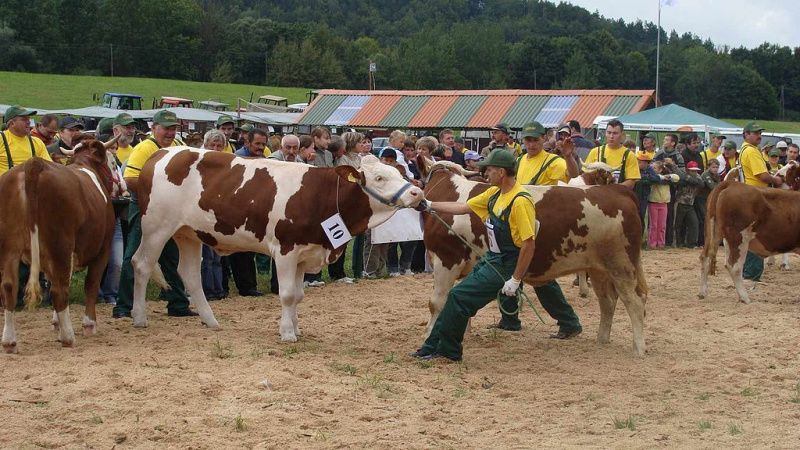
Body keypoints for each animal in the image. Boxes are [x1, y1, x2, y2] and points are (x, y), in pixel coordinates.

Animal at [128, 148, 422, 342]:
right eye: (380, 178)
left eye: (397, 172)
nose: (417, 192)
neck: (319, 195)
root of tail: (163, 152)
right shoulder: (285, 251)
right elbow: (288, 294)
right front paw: (287, 333)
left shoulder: (305, 253)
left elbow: (299, 295)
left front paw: (296, 328)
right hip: (156, 226)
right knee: (141, 264)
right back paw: (139, 318)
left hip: (188, 233)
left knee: (189, 274)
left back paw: (211, 321)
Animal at [416, 161, 648, 356]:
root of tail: (617, 190)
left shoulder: (446, 259)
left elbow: (437, 302)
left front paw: (429, 335)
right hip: (599, 268)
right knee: (608, 301)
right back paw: (602, 339)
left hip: (622, 265)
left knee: (635, 303)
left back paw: (638, 349)